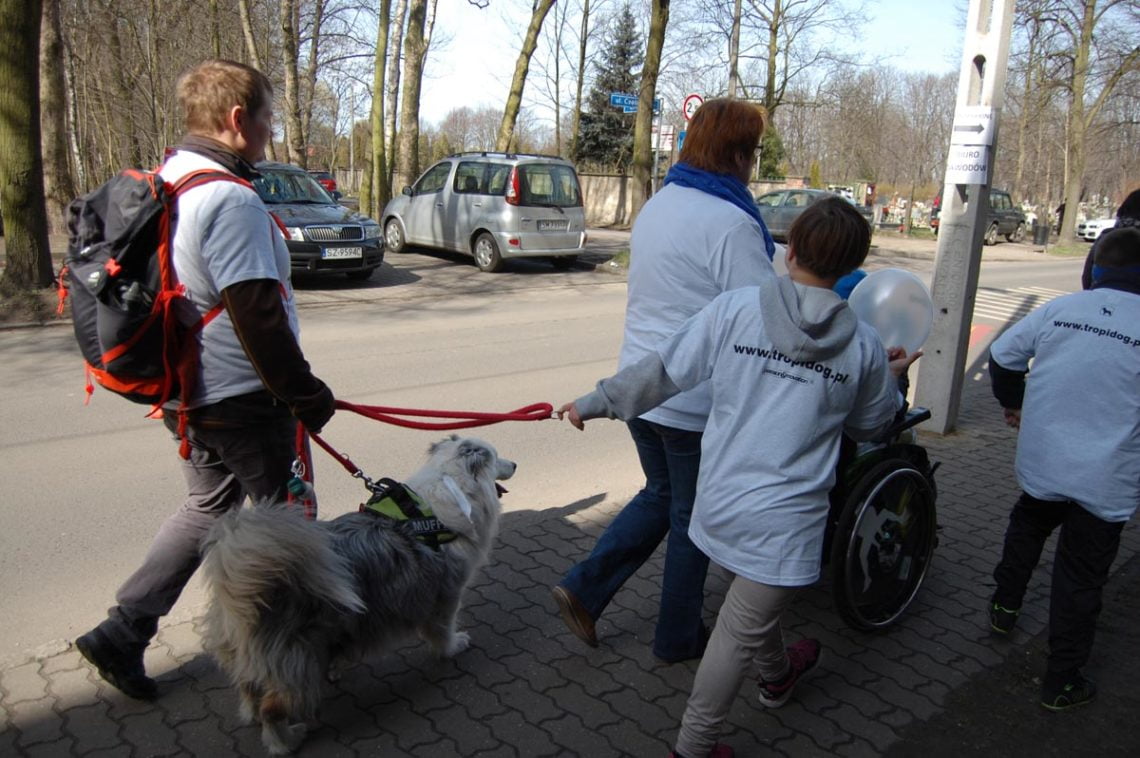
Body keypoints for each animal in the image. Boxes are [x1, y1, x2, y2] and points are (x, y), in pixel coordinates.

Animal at [199, 435, 513, 752]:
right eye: (496, 455)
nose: (514, 463)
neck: (450, 487)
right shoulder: (447, 594)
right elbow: (442, 630)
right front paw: (453, 646)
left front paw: (337, 666)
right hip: (295, 660)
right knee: (272, 708)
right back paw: (285, 741)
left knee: (248, 687)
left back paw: (252, 714)